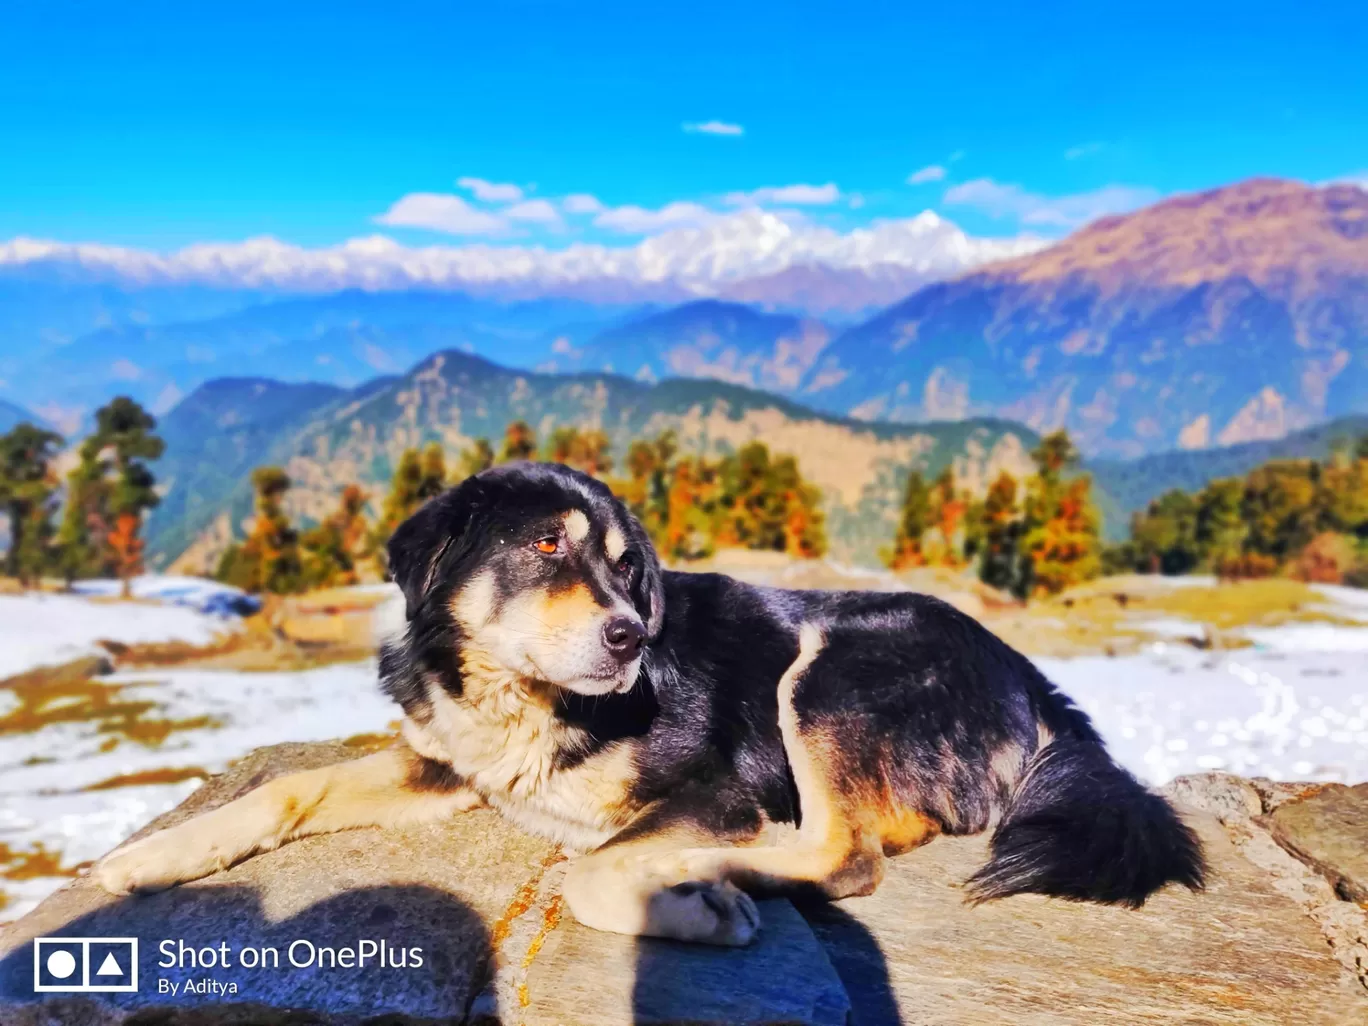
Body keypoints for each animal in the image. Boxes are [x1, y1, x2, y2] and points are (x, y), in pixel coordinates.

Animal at [101, 465, 1203, 946]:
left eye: (629, 567)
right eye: (546, 545)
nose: (632, 637)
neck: (522, 698)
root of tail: (1037, 683)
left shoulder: (711, 786)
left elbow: (592, 875)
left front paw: (678, 905)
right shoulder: (447, 765)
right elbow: (285, 790)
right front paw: (144, 858)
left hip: (829, 670)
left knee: (843, 855)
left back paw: (716, 880)